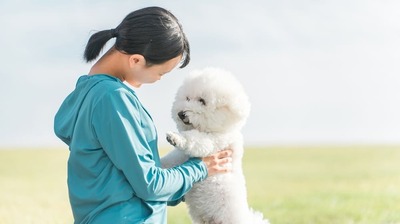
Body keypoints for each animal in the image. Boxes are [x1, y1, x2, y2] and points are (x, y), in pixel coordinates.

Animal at [160, 68, 268, 224]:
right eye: (187, 98)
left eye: (202, 101)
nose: (181, 114)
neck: (212, 129)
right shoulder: (180, 156)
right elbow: (169, 161)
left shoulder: (215, 142)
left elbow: (194, 140)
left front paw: (175, 137)